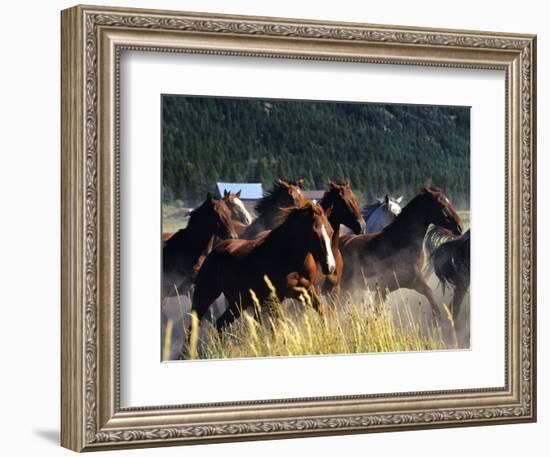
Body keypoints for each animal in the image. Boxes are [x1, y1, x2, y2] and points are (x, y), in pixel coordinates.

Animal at [190, 201, 336, 334]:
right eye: (314, 232)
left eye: (331, 231)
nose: (330, 267)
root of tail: (215, 250)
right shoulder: (274, 300)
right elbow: (276, 328)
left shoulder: (306, 290)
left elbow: (320, 308)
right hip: (205, 295)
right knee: (194, 326)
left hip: (239, 302)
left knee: (220, 324)